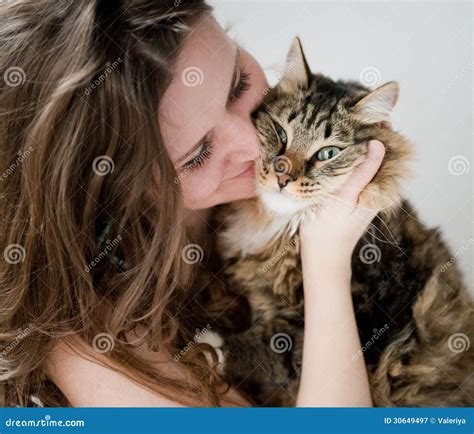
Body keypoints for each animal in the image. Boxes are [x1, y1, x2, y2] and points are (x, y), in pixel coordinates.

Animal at [206, 37, 474, 406]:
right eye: (280, 133)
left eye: (328, 154)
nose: (282, 177)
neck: (280, 230)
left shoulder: (371, 319)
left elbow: (270, 344)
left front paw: (210, 343)